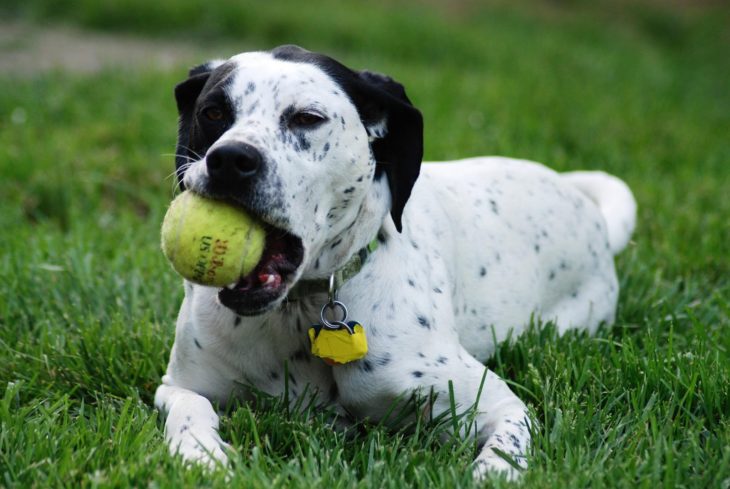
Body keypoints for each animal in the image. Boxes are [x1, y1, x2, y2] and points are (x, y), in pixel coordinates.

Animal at [154, 43, 632, 478]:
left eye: (307, 117)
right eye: (213, 112)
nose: (230, 159)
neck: (303, 306)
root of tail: (591, 213)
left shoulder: (498, 404)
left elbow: (503, 452)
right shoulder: (178, 386)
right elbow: (190, 408)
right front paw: (201, 455)